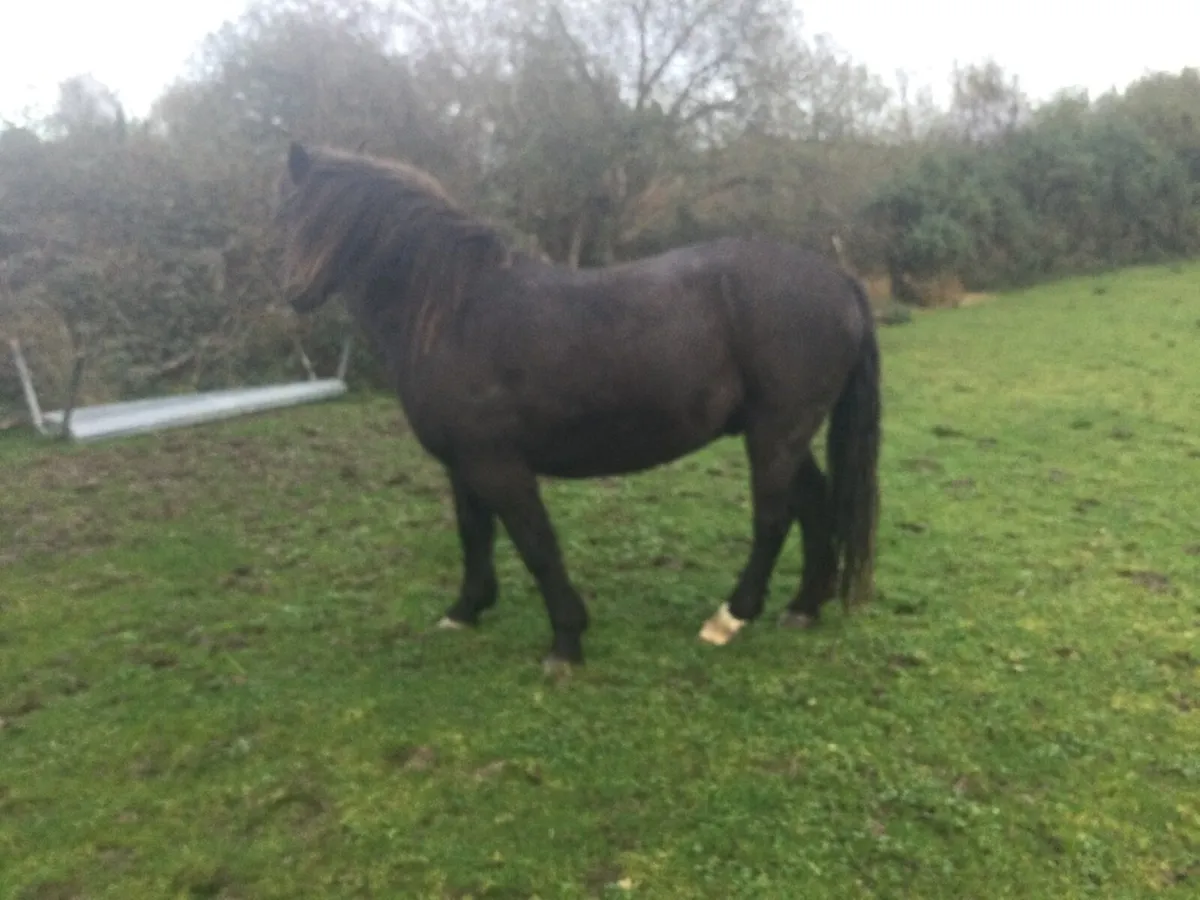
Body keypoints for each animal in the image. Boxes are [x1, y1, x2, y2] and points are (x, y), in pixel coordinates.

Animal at [275, 141, 882, 671]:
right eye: (288, 215)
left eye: (334, 219)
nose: (292, 292)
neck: (454, 315)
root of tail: (837, 278)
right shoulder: (462, 465)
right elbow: (475, 536)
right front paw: (466, 610)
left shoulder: (498, 466)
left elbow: (537, 545)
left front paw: (565, 643)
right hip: (780, 433)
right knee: (814, 503)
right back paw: (803, 607)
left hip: (776, 433)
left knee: (774, 518)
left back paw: (730, 618)